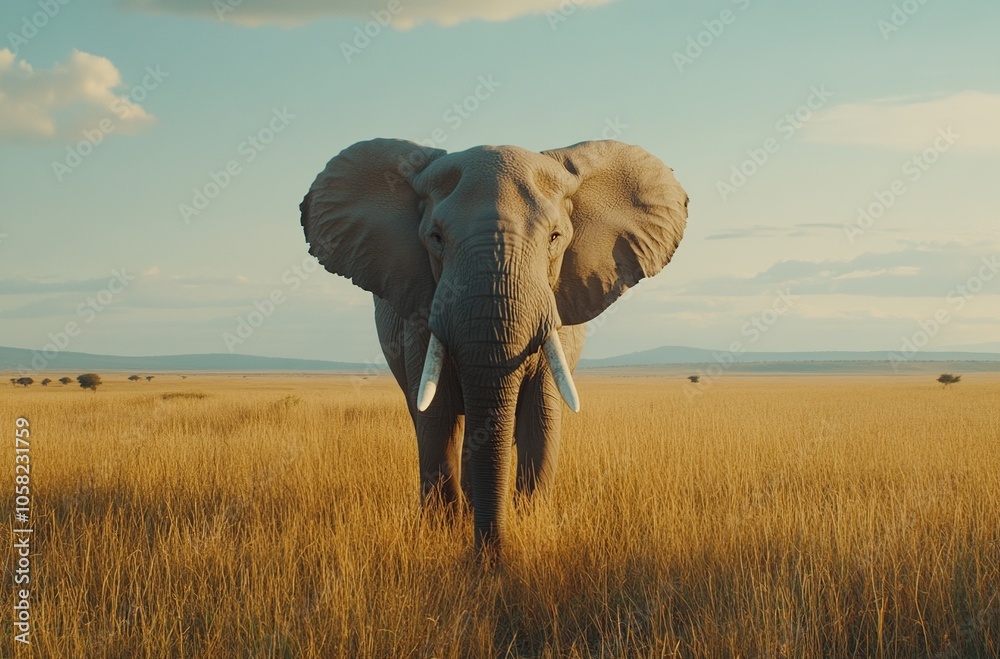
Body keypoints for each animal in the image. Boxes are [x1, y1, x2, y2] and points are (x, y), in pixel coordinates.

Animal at [300, 138, 688, 550]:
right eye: (436, 238)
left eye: (555, 237)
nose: (490, 555)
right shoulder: (420, 316)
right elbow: (436, 419)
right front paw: (446, 534)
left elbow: (540, 418)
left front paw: (529, 524)